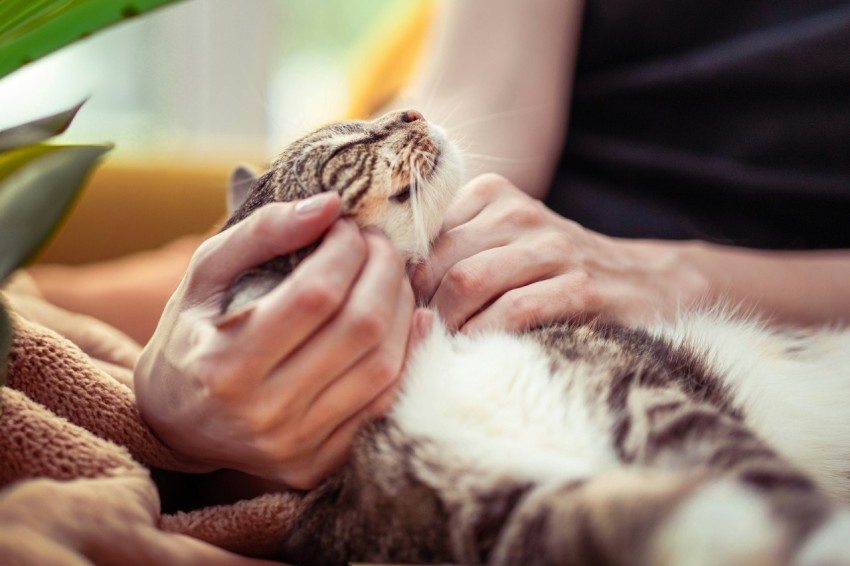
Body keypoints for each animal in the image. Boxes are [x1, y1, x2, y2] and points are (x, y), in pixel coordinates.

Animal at [220, 108, 848, 564]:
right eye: (345, 150)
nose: (410, 110)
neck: (435, 353)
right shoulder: (513, 518)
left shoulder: (651, 399)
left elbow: (755, 477)